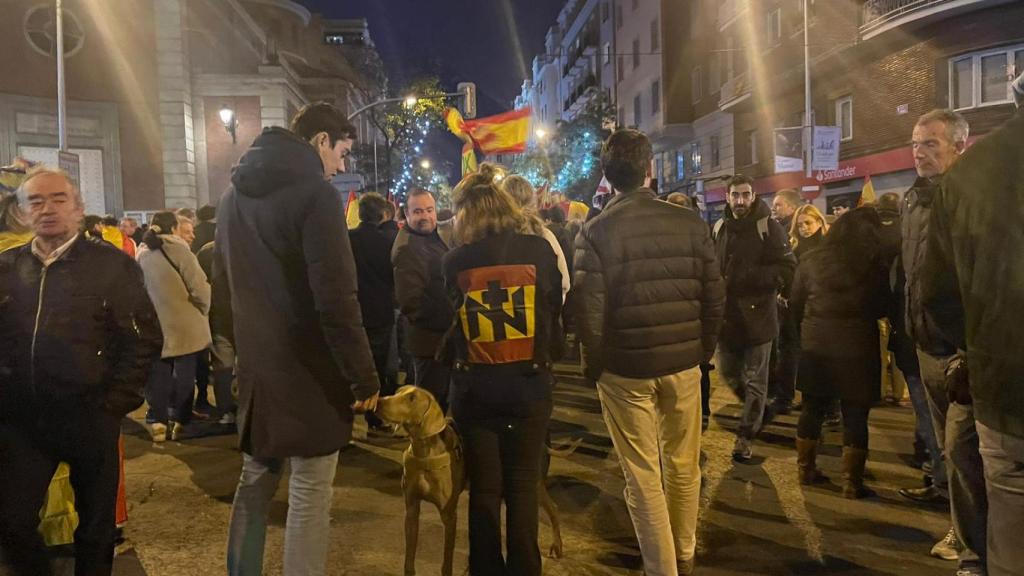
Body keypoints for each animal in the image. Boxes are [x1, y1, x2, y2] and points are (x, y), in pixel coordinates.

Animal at [376, 383, 577, 569]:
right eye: (397, 392)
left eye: (412, 398)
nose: (378, 401)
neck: (425, 452)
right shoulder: (411, 510)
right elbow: (409, 558)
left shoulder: (449, 516)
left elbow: (446, 561)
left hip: (532, 483)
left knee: (553, 508)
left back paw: (556, 545)